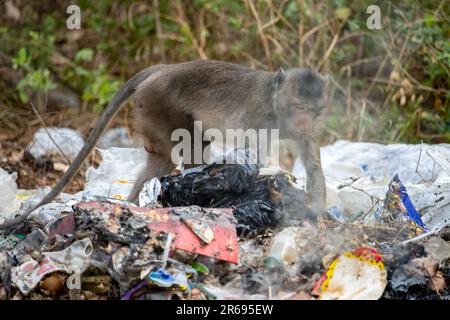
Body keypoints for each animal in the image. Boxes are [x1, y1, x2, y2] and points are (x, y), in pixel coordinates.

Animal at [0, 60, 330, 230]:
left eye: (315, 111)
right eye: (299, 108)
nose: (305, 123)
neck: (276, 106)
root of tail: (166, 67)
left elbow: (313, 167)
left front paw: (318, 213)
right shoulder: (257, 117)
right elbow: (252, 157)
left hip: (150, 108)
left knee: (163, 159)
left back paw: (135, 205)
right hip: (159, 102)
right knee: (188, 146)